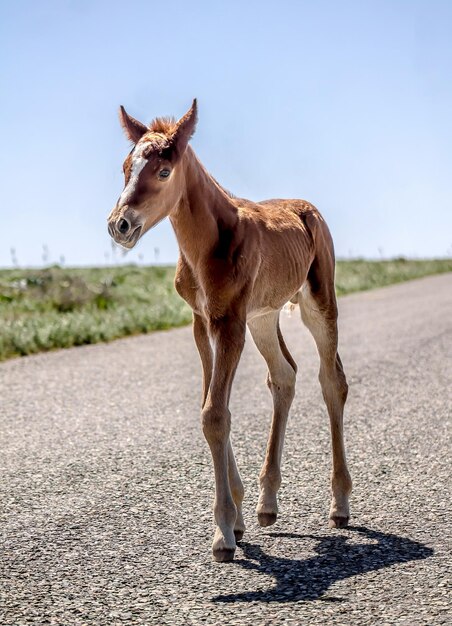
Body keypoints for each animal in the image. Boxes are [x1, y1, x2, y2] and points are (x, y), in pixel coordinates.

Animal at [107, 98, 352, 560]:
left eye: (163, 171)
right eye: (126, 167)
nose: (119, 225)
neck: (205, 247)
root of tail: (308, 209)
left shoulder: (231, 322)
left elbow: (216, 413)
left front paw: (222, 532)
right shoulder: (203, 322)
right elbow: (209, 405)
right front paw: (236, 517)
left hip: (318, 301)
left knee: (332, 380)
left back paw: (340, 504)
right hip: (264, 317)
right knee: (284, 375)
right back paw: (267, 503)